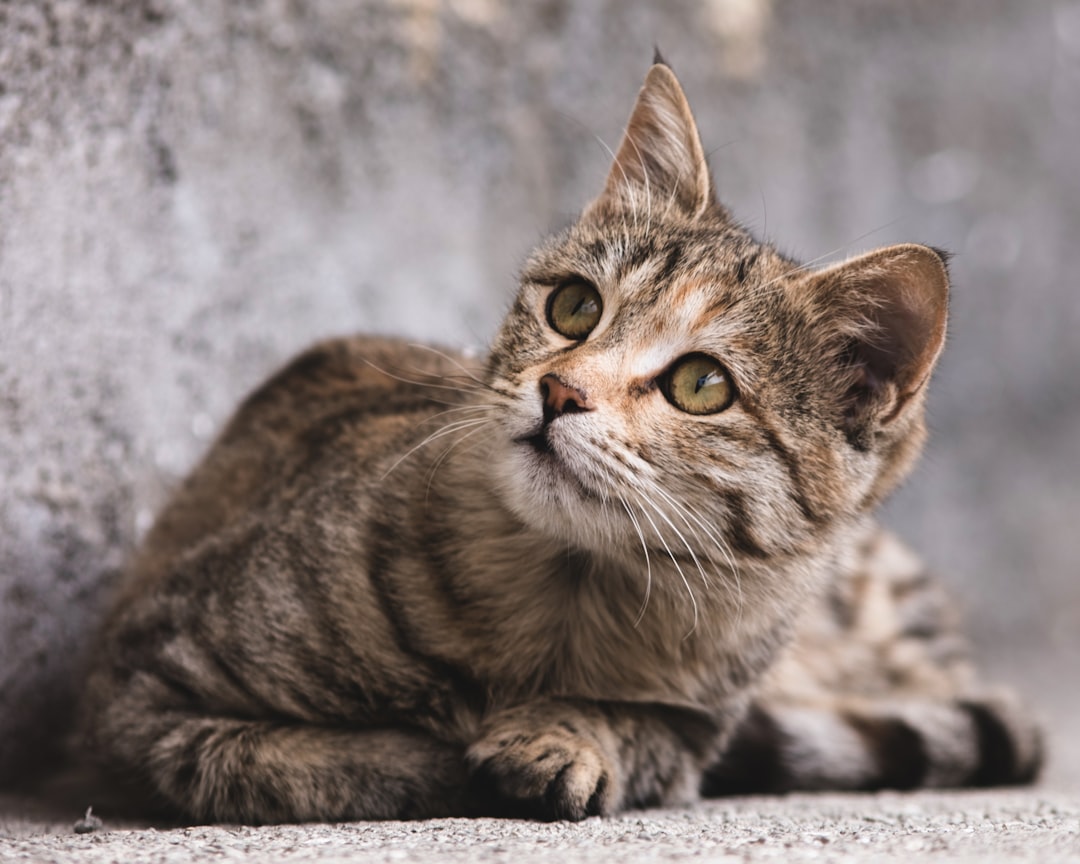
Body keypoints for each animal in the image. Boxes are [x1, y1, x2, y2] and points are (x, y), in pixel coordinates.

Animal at [79, 60, 1041, 825]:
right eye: (575, 306)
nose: (560, 390)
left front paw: (558, 737)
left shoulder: (694, 724)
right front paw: (443, 750)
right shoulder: (141, 692)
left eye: (702, 385)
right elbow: (298, 763)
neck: (563, 601)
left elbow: (632, 728)